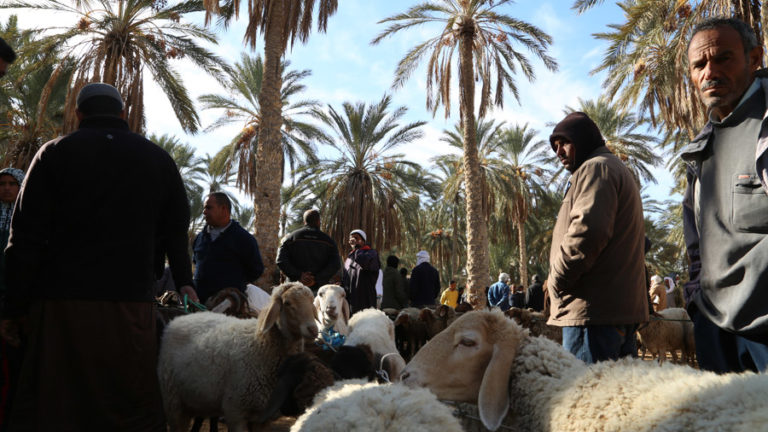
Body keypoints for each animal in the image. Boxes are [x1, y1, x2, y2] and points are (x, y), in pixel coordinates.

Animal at [158, 282, 318, 430]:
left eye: (312, 301)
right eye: (287, 303)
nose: (313, 329)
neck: (259, 344)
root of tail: (181, 319)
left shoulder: (262, 417)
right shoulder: (235, 412)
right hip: (173, 402)